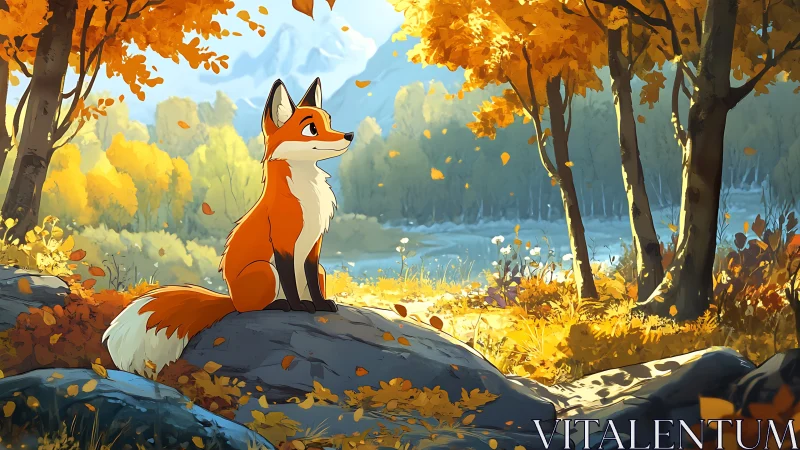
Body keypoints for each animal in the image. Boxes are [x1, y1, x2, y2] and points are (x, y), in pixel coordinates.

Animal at [102, 77, 354, 375]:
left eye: (329, 121)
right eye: (311, 129)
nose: (349, 135)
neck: (307, 194)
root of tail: (230, 297)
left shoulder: (314, 245)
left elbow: (312, 281)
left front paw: (319, 305)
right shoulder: (283, 242)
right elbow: (290, 282)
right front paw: (298, 307)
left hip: (318, 271)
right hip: (265, 271)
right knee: (252, 308)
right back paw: (279, 304)